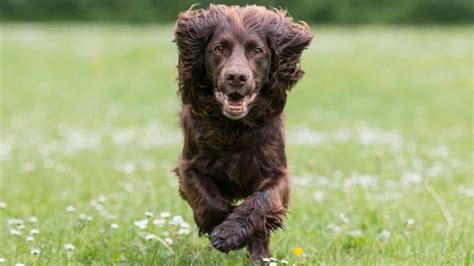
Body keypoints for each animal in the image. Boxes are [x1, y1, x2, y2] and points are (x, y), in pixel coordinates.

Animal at [172, 4, 312, 260]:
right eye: (219, 48)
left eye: (257, 51)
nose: (236, 77)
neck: (234, 128)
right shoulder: (189, 166)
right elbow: (210, 202)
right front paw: (223, 225)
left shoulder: (276, 171)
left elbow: (262, 201)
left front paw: (231, 233)